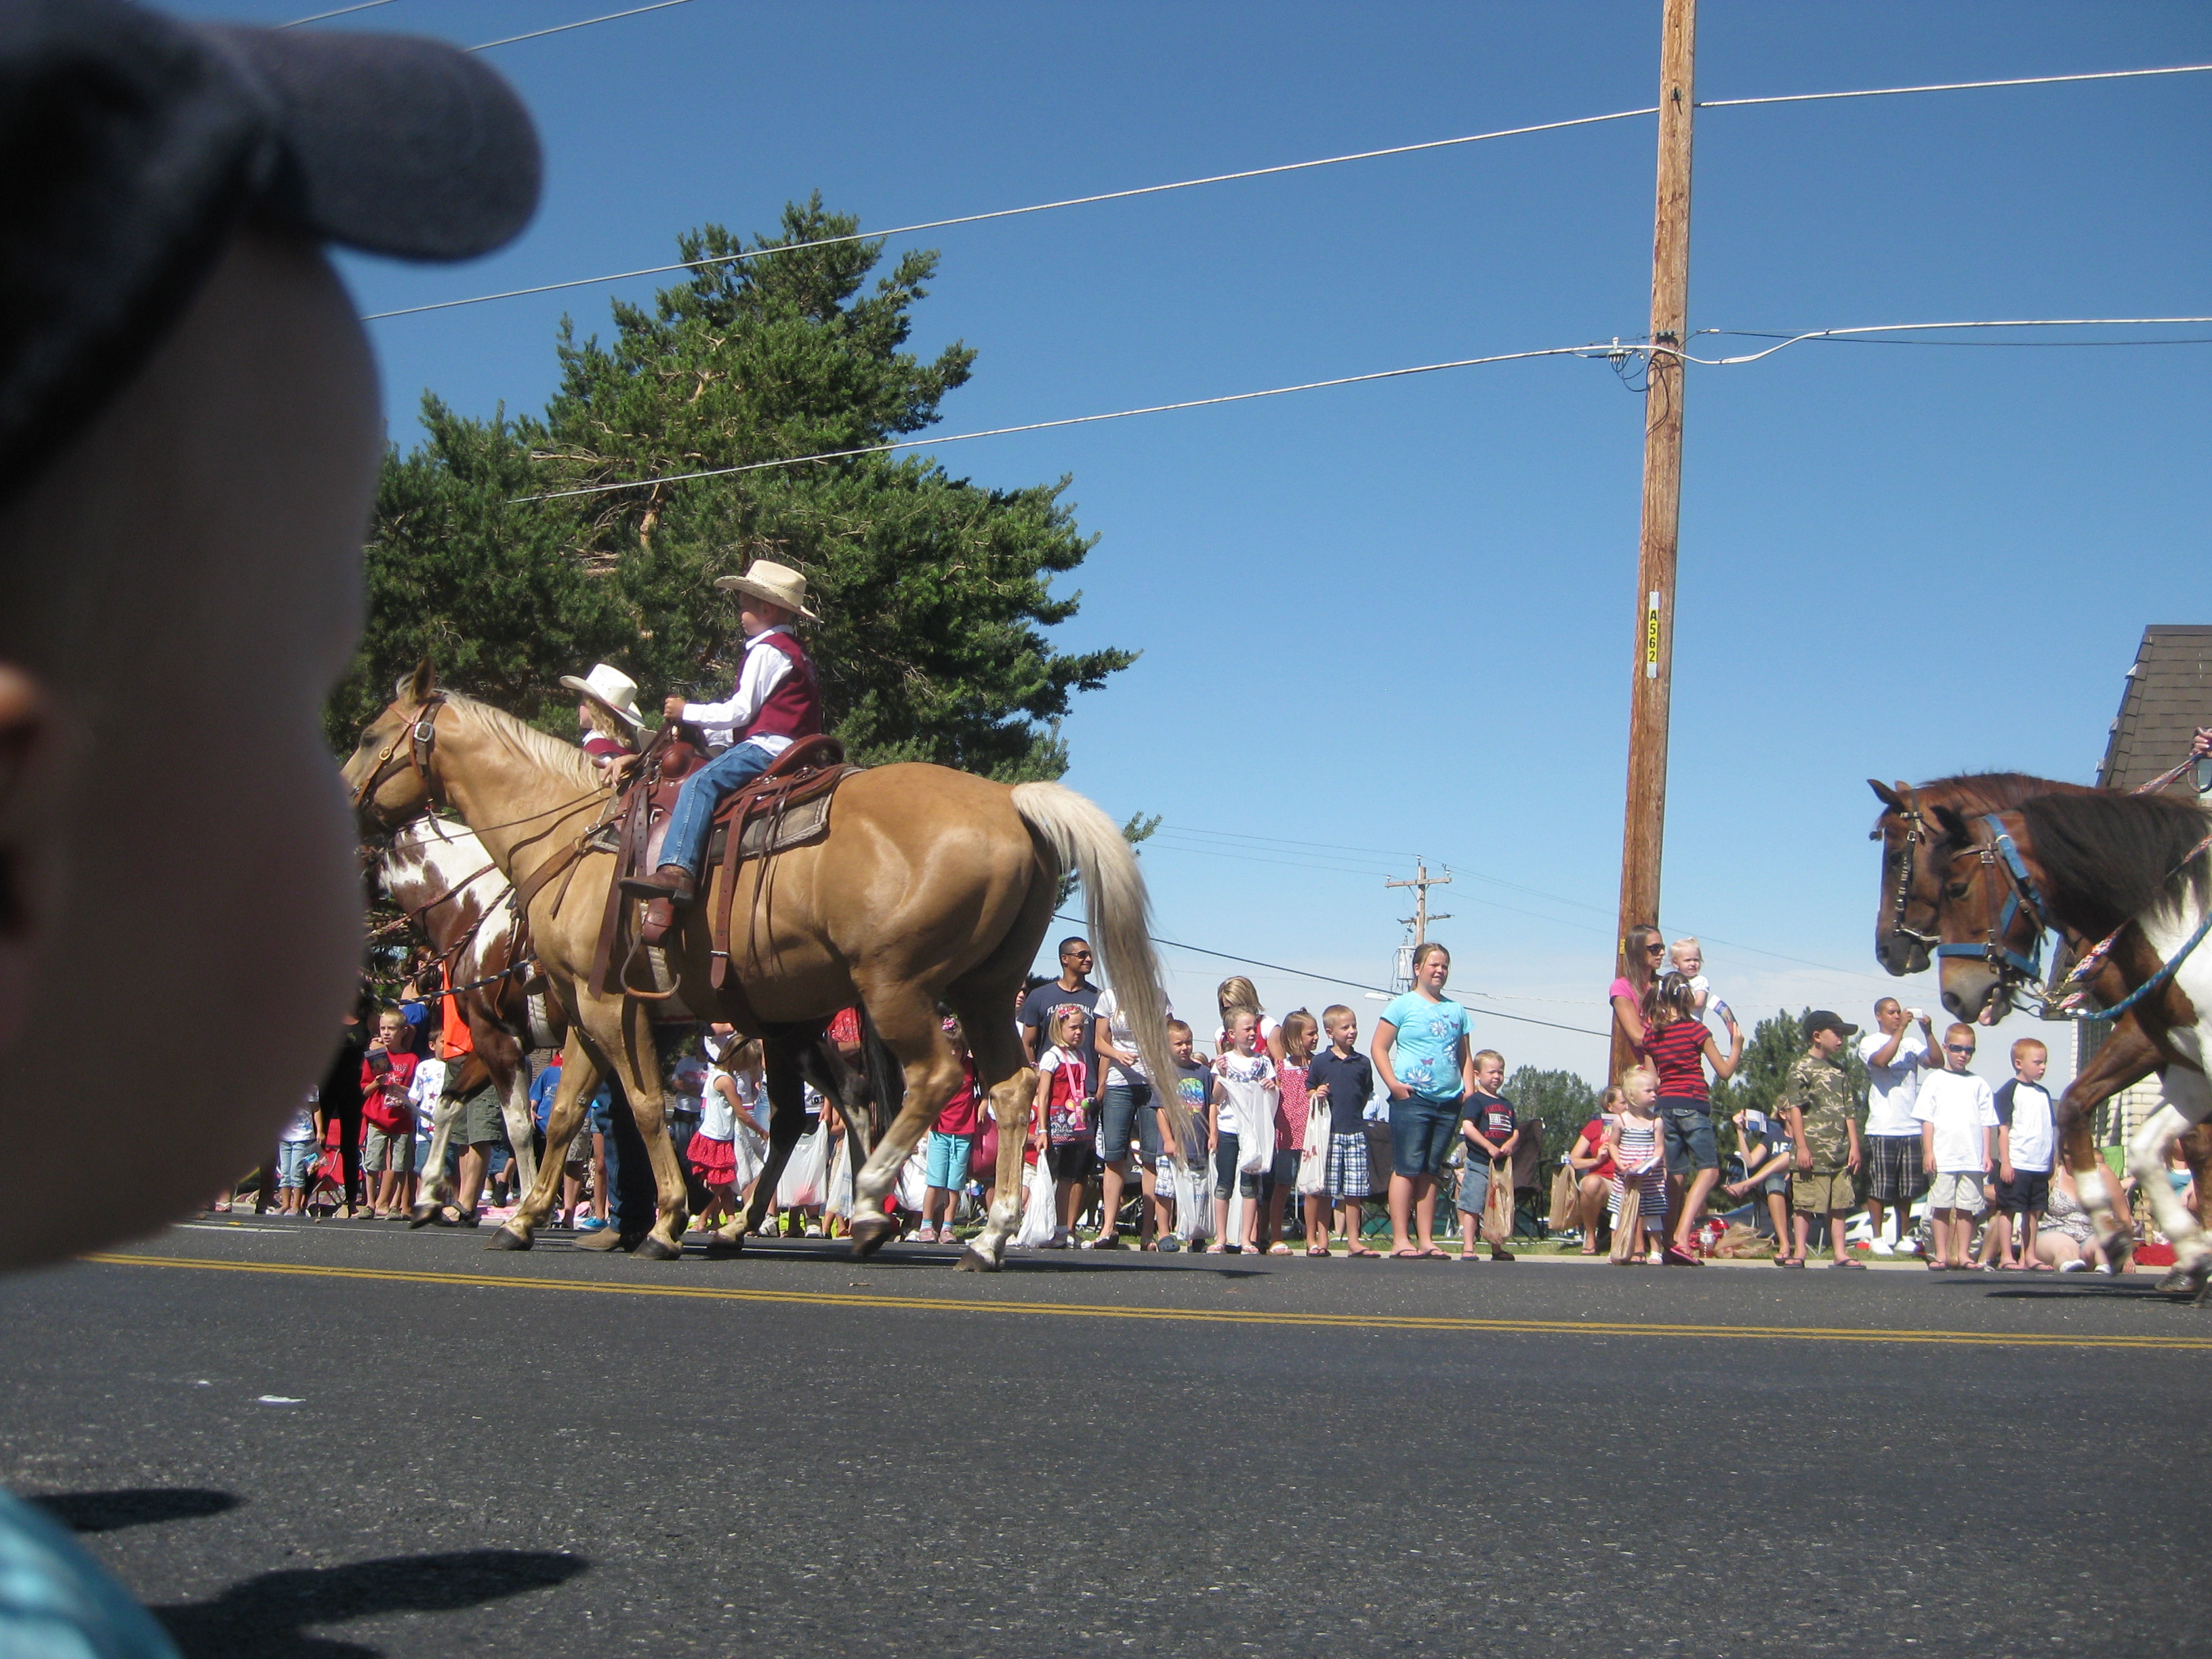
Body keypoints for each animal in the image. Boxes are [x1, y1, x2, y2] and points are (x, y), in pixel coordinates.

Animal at [375, 823, 557, 1229]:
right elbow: (447, 1103)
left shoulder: (498, 1041)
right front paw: (428, 1195)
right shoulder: (493, 1042)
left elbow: (519, 1128)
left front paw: (526, 1208)